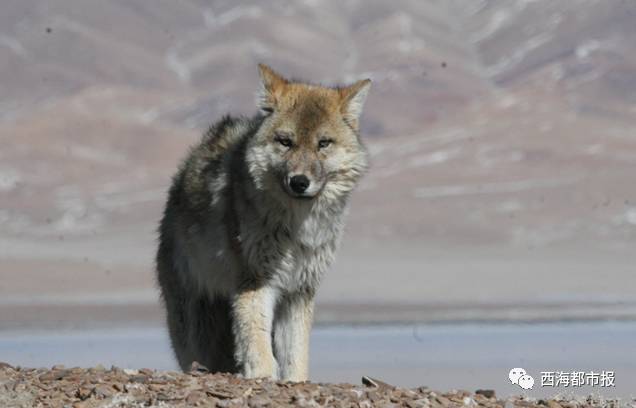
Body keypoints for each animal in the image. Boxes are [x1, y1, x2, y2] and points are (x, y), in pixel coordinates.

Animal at [156, 63, 370, 380]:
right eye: (285, 142)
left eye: (323, 144)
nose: (299, 182)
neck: (296, 229)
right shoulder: (255, 282)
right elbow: (257, 345)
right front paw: (261, 375)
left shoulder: (298, 292)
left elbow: (295, 354)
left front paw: (294, 380)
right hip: (192, 327)